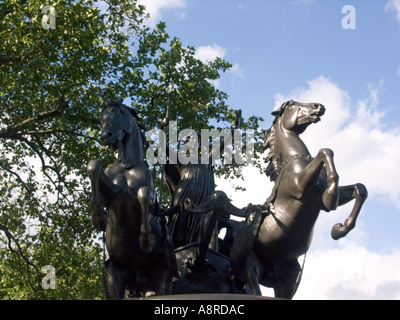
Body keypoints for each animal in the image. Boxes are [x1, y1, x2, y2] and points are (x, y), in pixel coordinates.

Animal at [88, 98, 177, 300]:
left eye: (118, 112)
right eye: (100, 118)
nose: (106, 136)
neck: (127, 165)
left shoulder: (146, 194)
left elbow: (143, 195)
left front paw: (146, 239)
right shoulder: (115, 194)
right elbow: (94, 166)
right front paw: (98, 217)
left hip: (161, 272)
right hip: (116, 274)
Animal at [230, 100, 368, 300]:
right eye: (291, 104)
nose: (319, 106)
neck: (295, 159)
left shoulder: (317, 197)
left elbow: (360, 189)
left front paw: (340, 229)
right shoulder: (302, 188)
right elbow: (325, 151)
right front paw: (331, 197)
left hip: (289, 276)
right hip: (250, 264)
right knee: (255, 289)